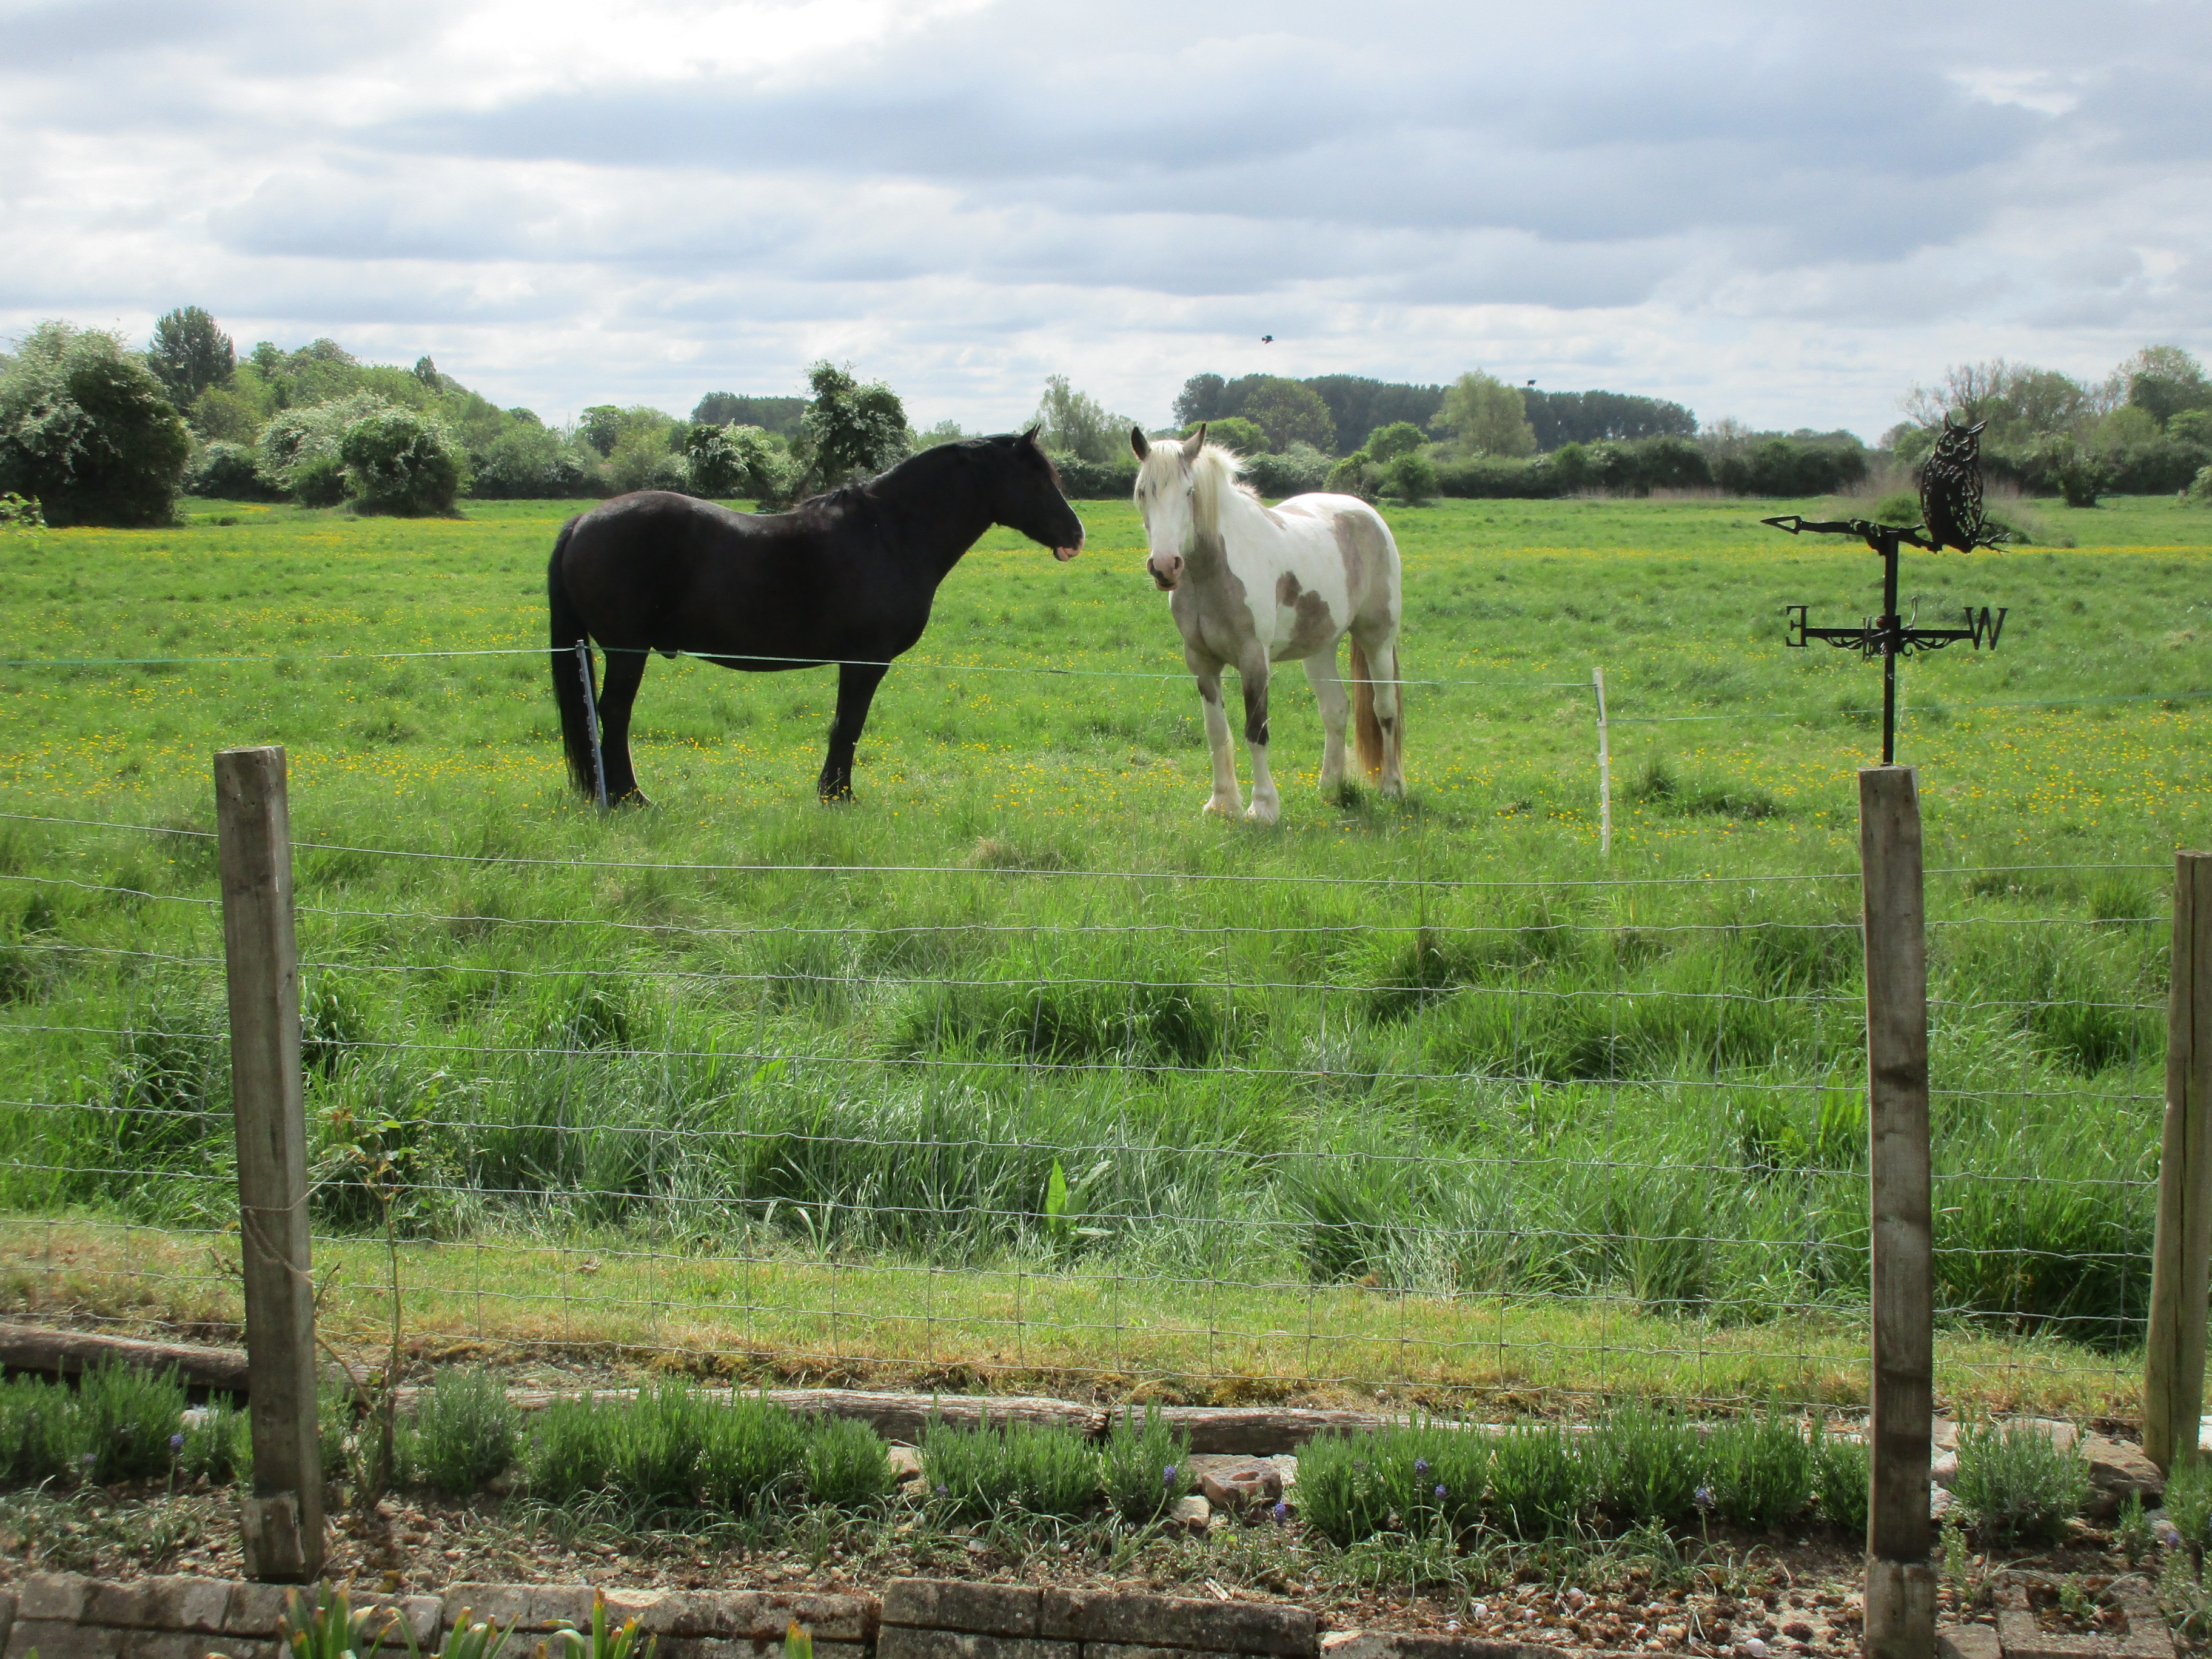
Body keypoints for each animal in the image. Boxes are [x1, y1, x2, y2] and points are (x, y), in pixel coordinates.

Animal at [548, 430, 1085, 805]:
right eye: (1037, 479)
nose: (1076, 535)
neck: (890, 534)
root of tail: (583, 521)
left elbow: (844, 725)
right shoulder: (866, 661)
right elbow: (849, 725)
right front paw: (839, 796)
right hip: (627, 651)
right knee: (614, 715)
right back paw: (631, 799)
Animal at [1130, 425, 1404, 822]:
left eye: (1189, 492)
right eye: (1142, 492)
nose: (1166, 566)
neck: (1212, 571)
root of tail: (1367, 514)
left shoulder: (1253, 660)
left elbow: (1255, 731)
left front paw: (1262, 807)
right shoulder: (1201, 661)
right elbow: (1216, 731)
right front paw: (1222, 803)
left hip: (1377, 640)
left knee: (1385, 709)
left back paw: (1392, 787)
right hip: (1319, 649)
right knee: (1335, 710)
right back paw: (1329, 788)